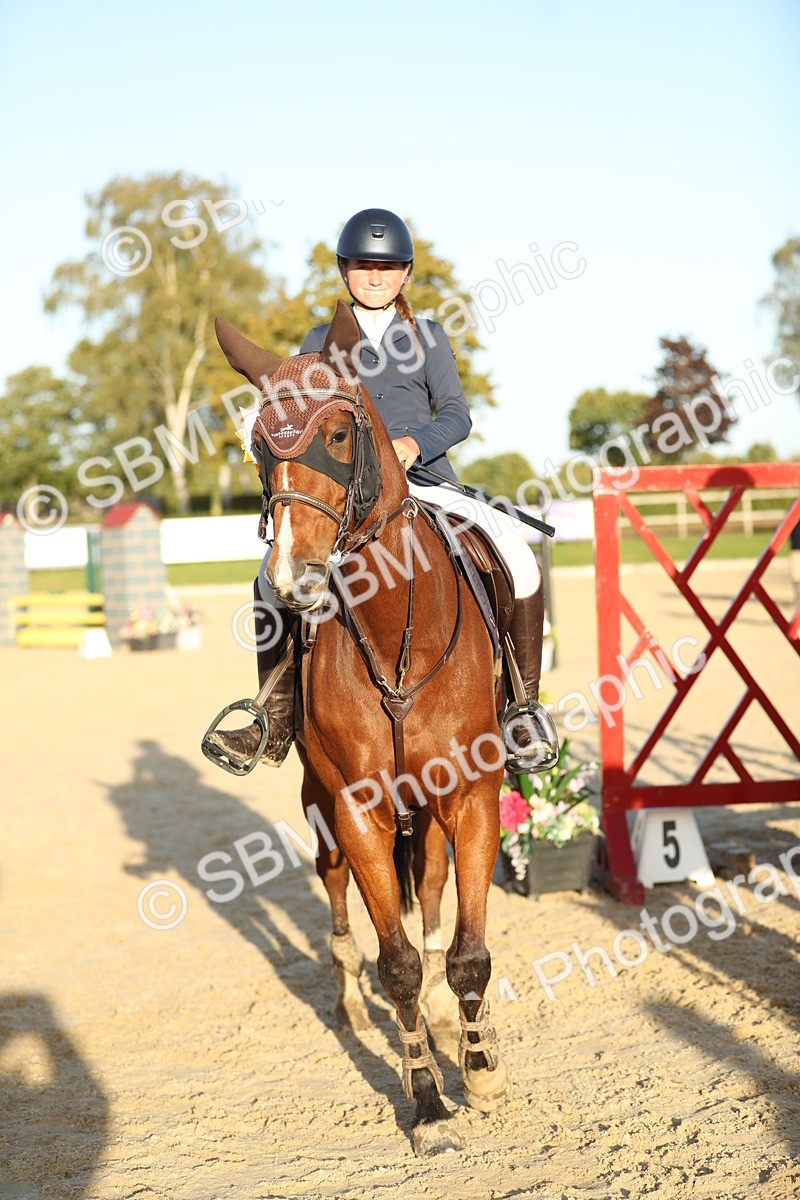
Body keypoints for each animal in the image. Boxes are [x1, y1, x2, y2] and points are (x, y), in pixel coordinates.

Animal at [215, 300, 512, 1154]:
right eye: (257, 443)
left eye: (339, 434)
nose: (294, 579)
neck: (394, 634)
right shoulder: (358, 810)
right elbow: (398, 962)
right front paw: (429, 1103)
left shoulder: (472, 799)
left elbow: (466, 952)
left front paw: (480, 1070)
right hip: (320, 804)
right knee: (339, 893)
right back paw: (350, 1003)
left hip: (434, 815)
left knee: (435, 895)